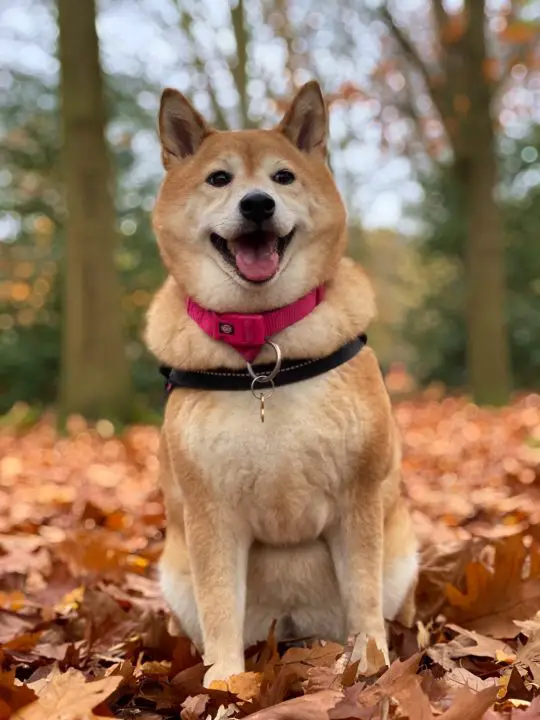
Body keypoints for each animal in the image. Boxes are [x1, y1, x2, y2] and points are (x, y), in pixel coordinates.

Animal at [143, 79, 418, 688]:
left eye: (283, 177)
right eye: (219, 179)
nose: (257, 204)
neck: (264, 349)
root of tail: (293, 632)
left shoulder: (358, 498)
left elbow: (363, 597)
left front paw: (371, 667)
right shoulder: (210, 512)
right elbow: (220, 606)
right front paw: (224, 684)